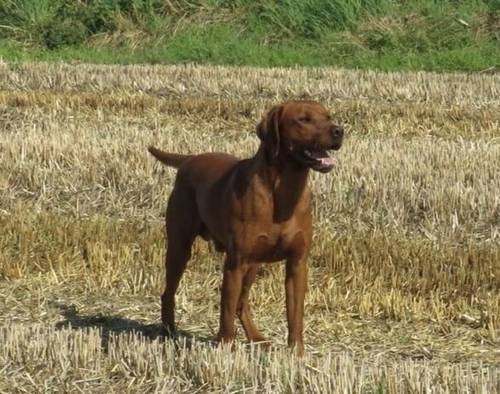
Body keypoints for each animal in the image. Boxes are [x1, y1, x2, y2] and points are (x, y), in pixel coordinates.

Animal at [148, 99, 344, 354]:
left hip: (253, 263)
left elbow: (295, 316)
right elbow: (226, 312)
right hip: (180, 246)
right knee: (169, 292)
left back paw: (256, 338)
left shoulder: (297, 264)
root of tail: (190, 159)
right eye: (303, 119)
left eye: (328, 116)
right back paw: (169, 332)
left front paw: (297, 353)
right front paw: (225, 349)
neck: (283, 190)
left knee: (242, 303)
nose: (339, 131)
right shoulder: (236, 263)